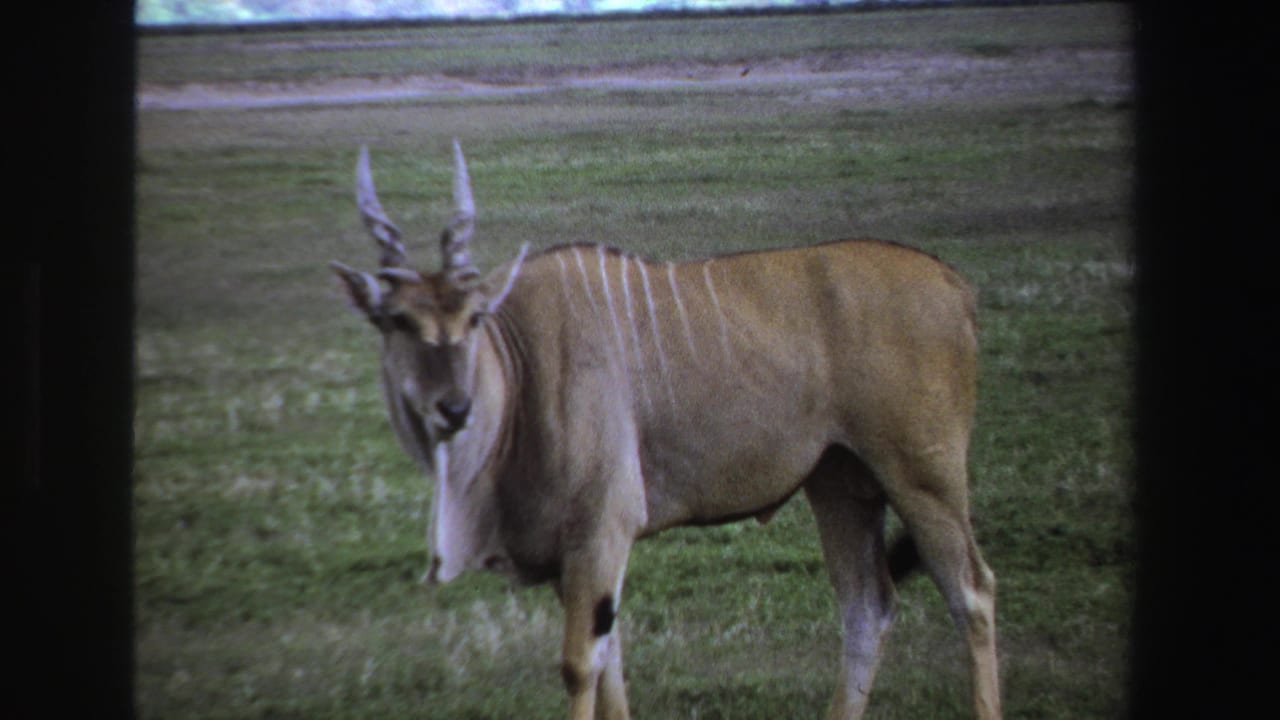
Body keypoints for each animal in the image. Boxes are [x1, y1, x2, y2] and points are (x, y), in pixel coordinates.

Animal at [329, 141, 1001, 719]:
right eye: (396, 320)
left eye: (473, 318)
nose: (453, 408)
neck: (519, 370)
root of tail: (955, 284)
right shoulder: (582, 556)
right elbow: (611, 666)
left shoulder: (601, 530)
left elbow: (580, 667)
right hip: (840, 481)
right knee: (867, 608)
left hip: (922, 476)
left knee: (972, 592)